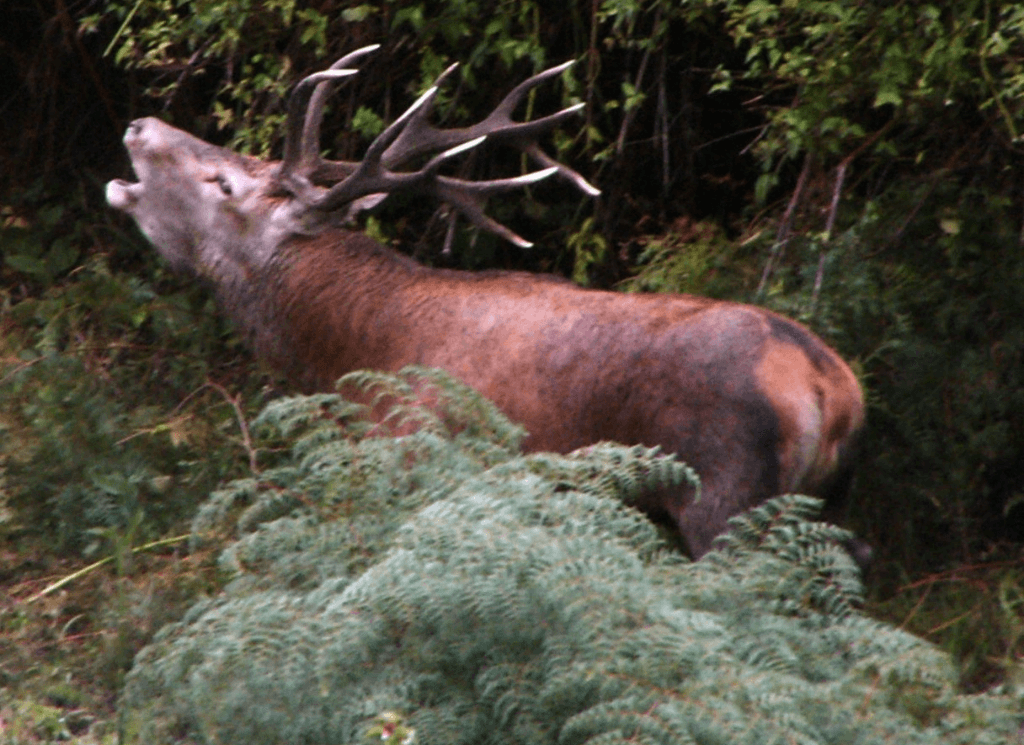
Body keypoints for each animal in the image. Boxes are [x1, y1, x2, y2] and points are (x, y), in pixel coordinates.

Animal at [106, 46, 867, 563]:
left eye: (223, 182)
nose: (138, 123)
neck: (348, 361)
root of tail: (829, 388)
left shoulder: (419, 464)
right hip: (827, 505)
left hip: (726, 498)